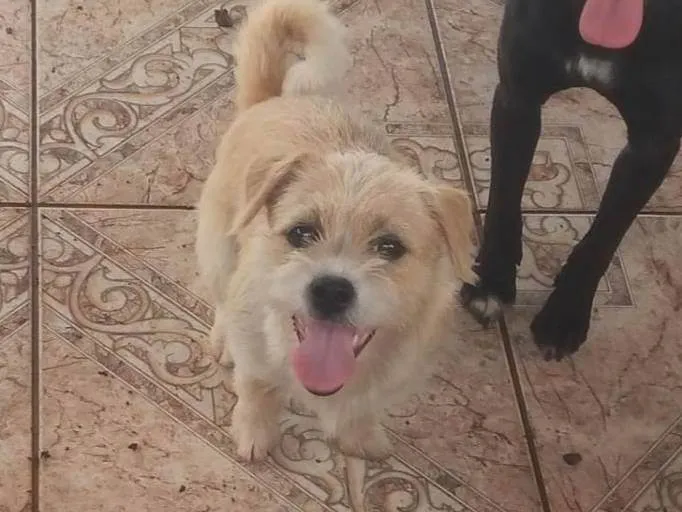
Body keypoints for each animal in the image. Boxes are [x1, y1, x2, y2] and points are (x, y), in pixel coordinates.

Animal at [195, 0, 476, 461]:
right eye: (300, 233)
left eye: (390, 246)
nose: (330, 290)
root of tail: (272, 100)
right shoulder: (255, 350)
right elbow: (257, 389)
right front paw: (255, 433)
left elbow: (362, 407)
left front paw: (359, 437)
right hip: (218, 248)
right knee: (220, 296)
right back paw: (221, 337)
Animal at [460, 0, 682, 361]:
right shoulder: (518, 97)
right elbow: (503, 199)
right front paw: (491, 279)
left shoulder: (653, 145)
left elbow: (604, 236)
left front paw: (565, 314)